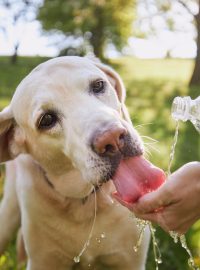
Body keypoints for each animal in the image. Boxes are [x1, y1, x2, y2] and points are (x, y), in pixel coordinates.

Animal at [0, 56, 150, 268]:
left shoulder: (130, 261)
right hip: (9, 212)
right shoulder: (42, 262)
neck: (85, 203)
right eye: (47, 119)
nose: (112, 138)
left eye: (98, 85)